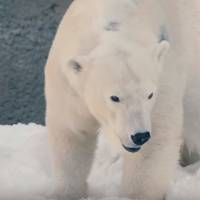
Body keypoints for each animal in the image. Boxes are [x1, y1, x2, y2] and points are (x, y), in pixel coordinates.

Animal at [45, 0, 200, 200]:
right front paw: (67, 193)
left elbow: (155, 142)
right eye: (114, 97)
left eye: (150, 94)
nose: (140, 136)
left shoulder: (164, 76)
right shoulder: (68, 85)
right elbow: (71, 133)